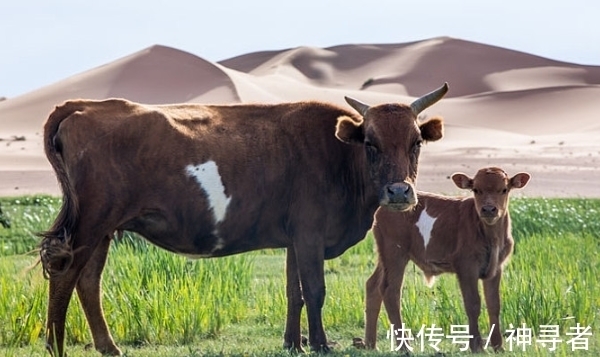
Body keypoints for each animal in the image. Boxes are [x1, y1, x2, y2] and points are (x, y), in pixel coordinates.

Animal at [39, 82, 448, 354]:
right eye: (371, 144)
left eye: (416, 142)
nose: (399, 192)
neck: (339, 155)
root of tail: (84, 104)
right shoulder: (310, 234)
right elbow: (315, 291)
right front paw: (320, 345)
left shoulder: (294, 239)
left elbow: (294, 292)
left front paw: (293, 343)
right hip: (90, 223)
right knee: (65, 275)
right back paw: (56, 346)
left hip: (103, 229)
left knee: (88, 281)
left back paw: (108, 347)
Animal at [360, 166, 528, 350]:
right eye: (476, 189)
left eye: (504, 189)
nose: (489, 209)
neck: (492, 235)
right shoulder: (466, 266)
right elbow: (473, 304)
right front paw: (476, 346)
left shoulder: (496, 267)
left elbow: (494, 304)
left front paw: (498, 346)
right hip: (395, 252)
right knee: (391, 291)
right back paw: (404, 346)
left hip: (384, 254)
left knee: (373, 285)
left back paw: (370, 343)